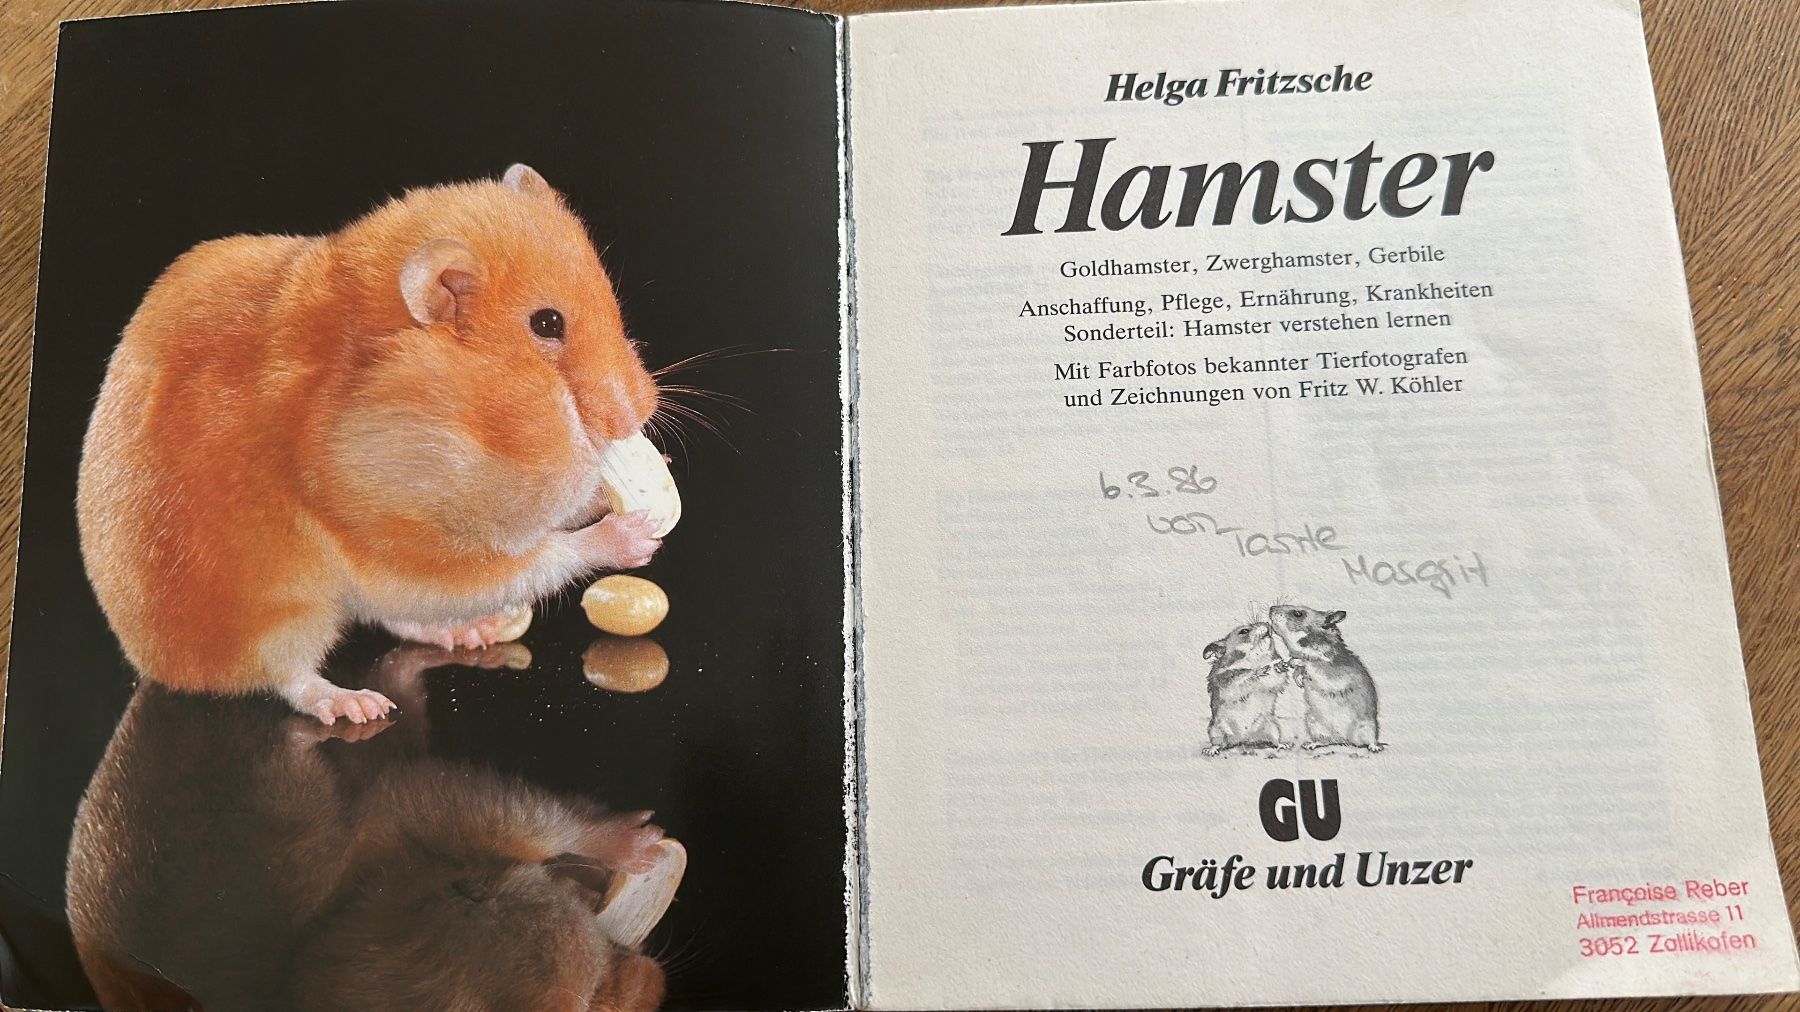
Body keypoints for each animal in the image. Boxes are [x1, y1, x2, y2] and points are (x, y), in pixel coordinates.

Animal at [77, 163, 663, 724]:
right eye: (547, 323)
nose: (638, 413)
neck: (468, 426)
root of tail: (160, 664)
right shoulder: (403, 538)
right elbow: (526, 561)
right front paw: (636, 533)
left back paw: (469, 634)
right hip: (286, 613)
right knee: (292, 674)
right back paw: (358, 705)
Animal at [1201, 621, 1297, 754]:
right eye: (1244, 631)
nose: (1267, 623)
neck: (1256, 660)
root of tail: (1243, 738)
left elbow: (1276, 678)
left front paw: (1280, 666)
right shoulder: (1225, 679)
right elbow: (1241, 678)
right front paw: (1259, 671)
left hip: (1272, 727)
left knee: (1274, 740)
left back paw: (1283, 745)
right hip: (1215, 729)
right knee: (1217, 742)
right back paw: (1211, 750)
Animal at [1268, 605, 1381, 751]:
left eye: (1298, 613)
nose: (1271, 608)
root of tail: (1344, 740)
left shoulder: (1326, 668)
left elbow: (1309, 664)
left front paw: (1294, 662)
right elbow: (1299, 671)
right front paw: (1299, 680)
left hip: (1368, 727)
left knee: (1370, 740)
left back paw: (1374, 747)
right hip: (1313, 723)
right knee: (1325, 741)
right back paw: (1310, 744)